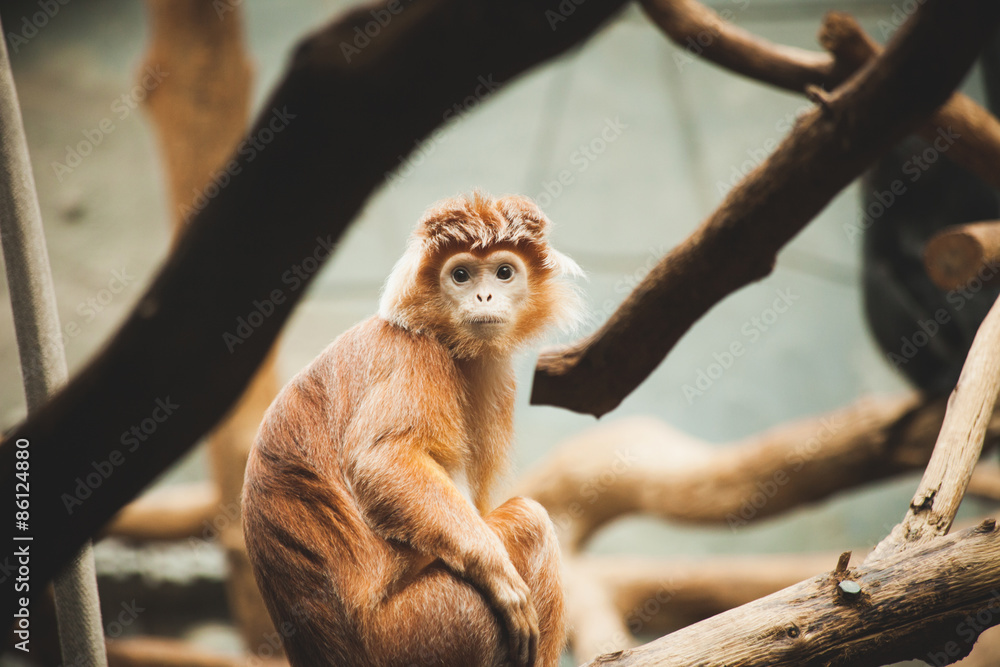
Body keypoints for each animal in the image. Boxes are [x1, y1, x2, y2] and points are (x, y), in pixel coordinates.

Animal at [242, 192, 581, 667]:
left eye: (504, 272)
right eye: (460, 275)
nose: (484, 295)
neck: (440, 337)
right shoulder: (415, 355)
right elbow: (383, 459)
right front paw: (492, 567)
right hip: (424, 629)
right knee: (530, 522)